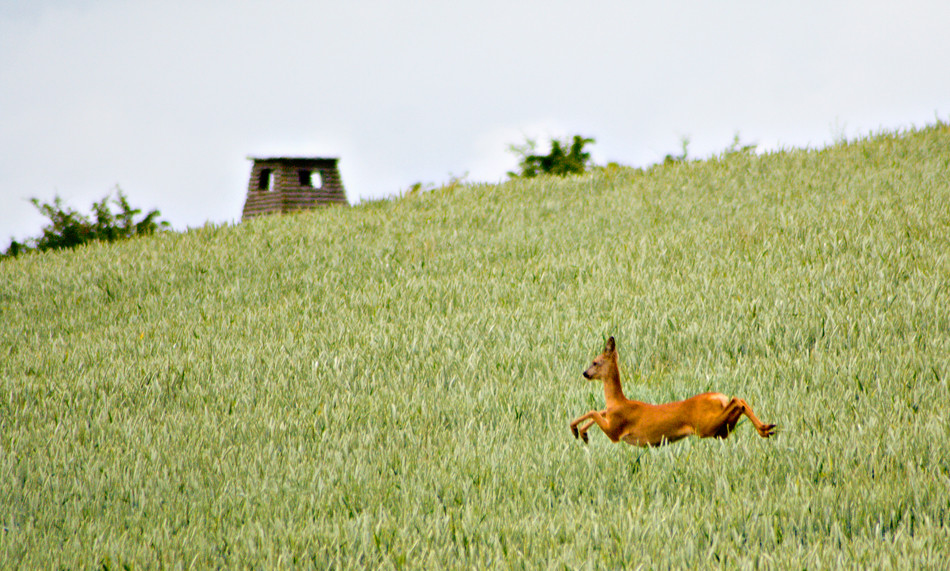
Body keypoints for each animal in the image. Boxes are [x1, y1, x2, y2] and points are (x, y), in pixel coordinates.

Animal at [568, 336, 776, 446]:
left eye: (595, 362)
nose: (585, 373)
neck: (618, 401)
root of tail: (719, 397)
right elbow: (599, 411)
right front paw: (581, 432)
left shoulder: (615, 431)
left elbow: (594, 411)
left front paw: (578, 431)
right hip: (720, 430)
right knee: (739, 402)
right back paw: (766, 428)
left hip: (705, 425)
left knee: (737, 400)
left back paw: (765, 429)